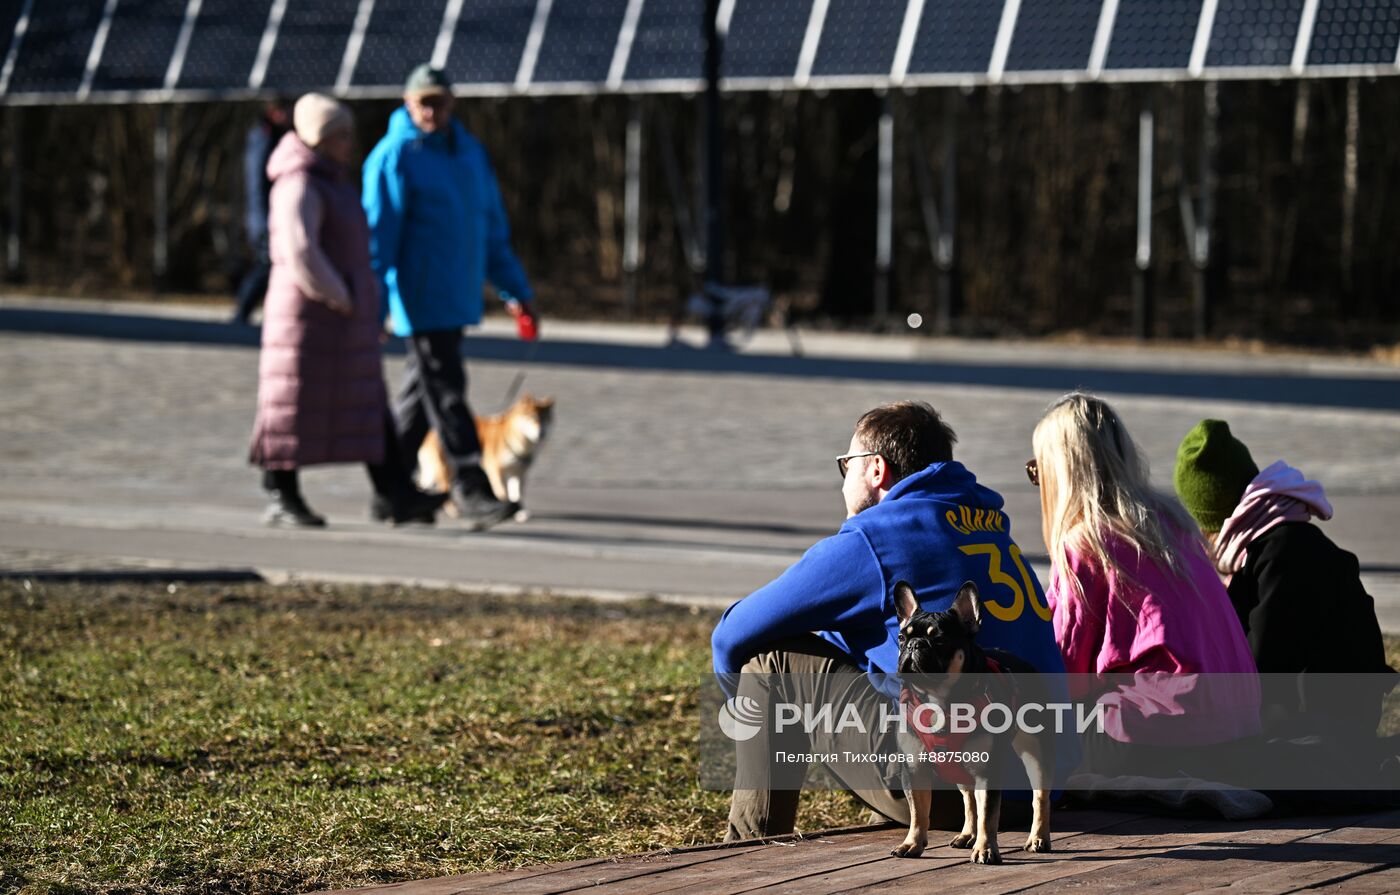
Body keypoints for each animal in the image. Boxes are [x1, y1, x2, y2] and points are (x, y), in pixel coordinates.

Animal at [414, 394, 551, 526]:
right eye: (533, 417)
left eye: (544, 419)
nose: (541, 433)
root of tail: (429, 435)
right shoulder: (495, 470)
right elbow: (502, 492)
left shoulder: (518, 473)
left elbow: (517, 493)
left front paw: (520, 512)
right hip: (444, 470)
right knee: (444, 491)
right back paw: (452, 510)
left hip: (433, 471)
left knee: (425, 485)